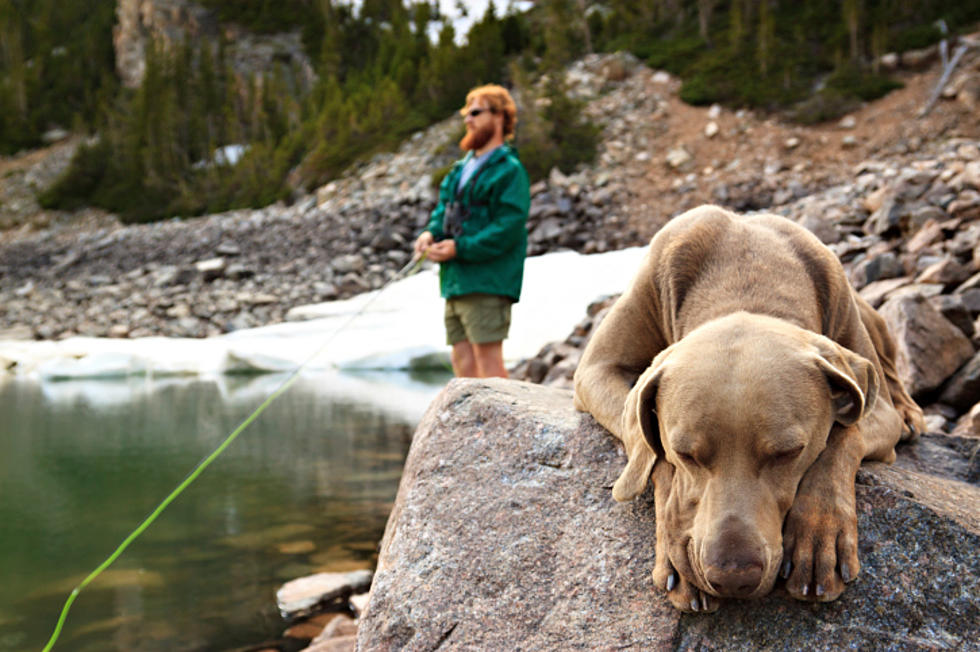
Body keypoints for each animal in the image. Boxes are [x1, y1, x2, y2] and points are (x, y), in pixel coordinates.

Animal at [572, 206, 924, 612]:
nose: (732, 578)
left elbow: (842, 439)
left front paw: (819, 537)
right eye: (685, 454)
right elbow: (652, 455)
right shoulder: (597, 370)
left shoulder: (877, 408)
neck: (746, 270)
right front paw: (676, 537)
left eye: (789, 453)